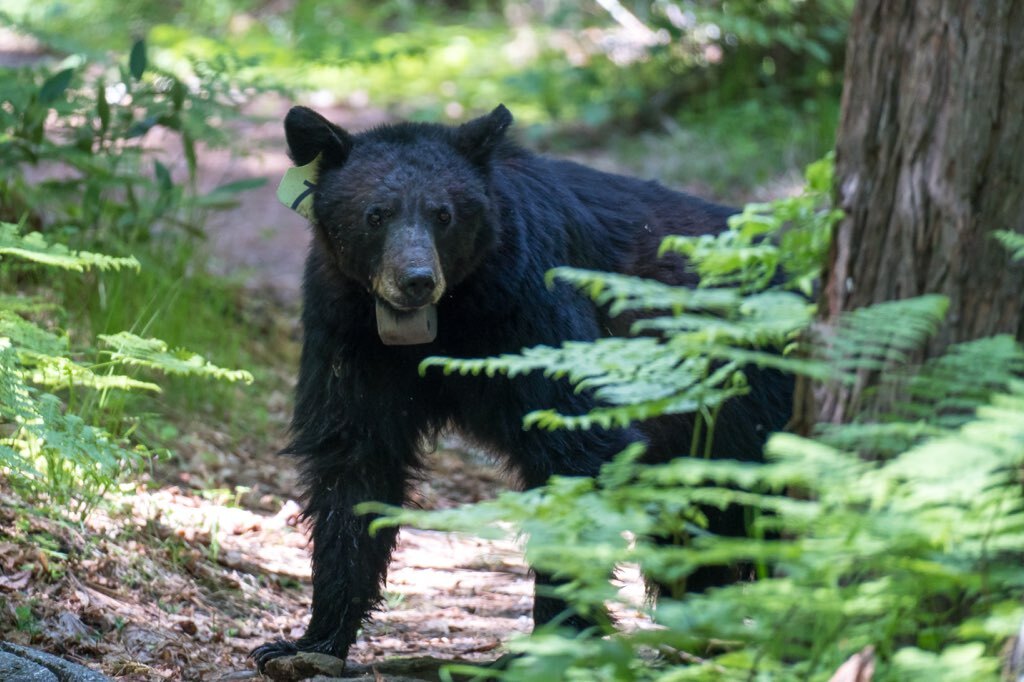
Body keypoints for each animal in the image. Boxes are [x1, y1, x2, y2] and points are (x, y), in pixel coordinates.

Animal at [251, 104, 793, 671]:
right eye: (375, 214)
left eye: (443, 214)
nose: (416, 279)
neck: (443, 320)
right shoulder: (348, 331)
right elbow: (353, 463)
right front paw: (307, 642)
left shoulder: (531, 307)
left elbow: (576, 442)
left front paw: (553, 637)